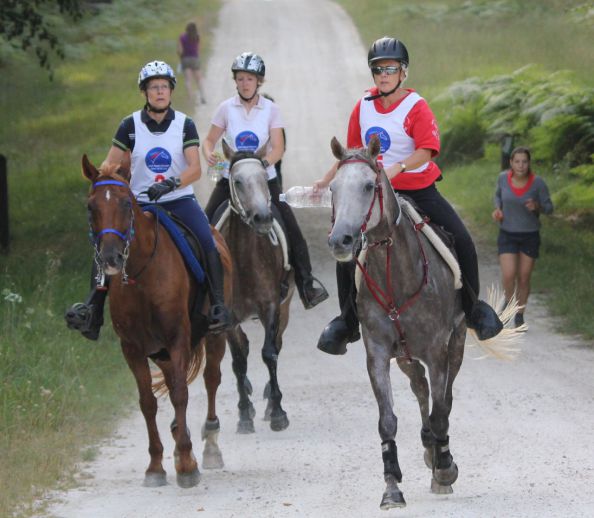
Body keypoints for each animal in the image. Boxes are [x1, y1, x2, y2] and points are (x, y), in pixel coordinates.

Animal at [78, 156, 227, 490]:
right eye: (91, 207)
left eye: (125, 203)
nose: (110, 258)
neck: (141, 275)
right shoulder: (132, 347)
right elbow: (148, 401)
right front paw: (156, 466)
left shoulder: (177, 337)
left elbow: (182, 394)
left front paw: (186, 466)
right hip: (160, 353)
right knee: (173, 382)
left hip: (214, 335)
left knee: (211, 378)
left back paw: (210, 446)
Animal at [214, 141, 294, 434]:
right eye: (237, 181)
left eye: (263, 177)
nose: (263, 218)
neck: (241, 260)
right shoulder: (227, 316)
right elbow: (238, 361)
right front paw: (244, 415)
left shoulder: (270, 306)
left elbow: (269, 354)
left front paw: (278, 412)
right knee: (245, 349)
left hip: (285, 306)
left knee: (277, 344)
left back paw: (270, 404)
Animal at [326, 135, 516, 512]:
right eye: (333, 188)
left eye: (368, 186)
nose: (341, 240)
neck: (396, 272)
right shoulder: (378, 354)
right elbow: (387, 420)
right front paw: (391, 488)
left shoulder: (437, 351)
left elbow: (443, 409)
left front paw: (444, 469)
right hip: (405, 355)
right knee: (420, 388)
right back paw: (429, 443)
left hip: (454, 345)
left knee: (445, 398)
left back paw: (439, 454)